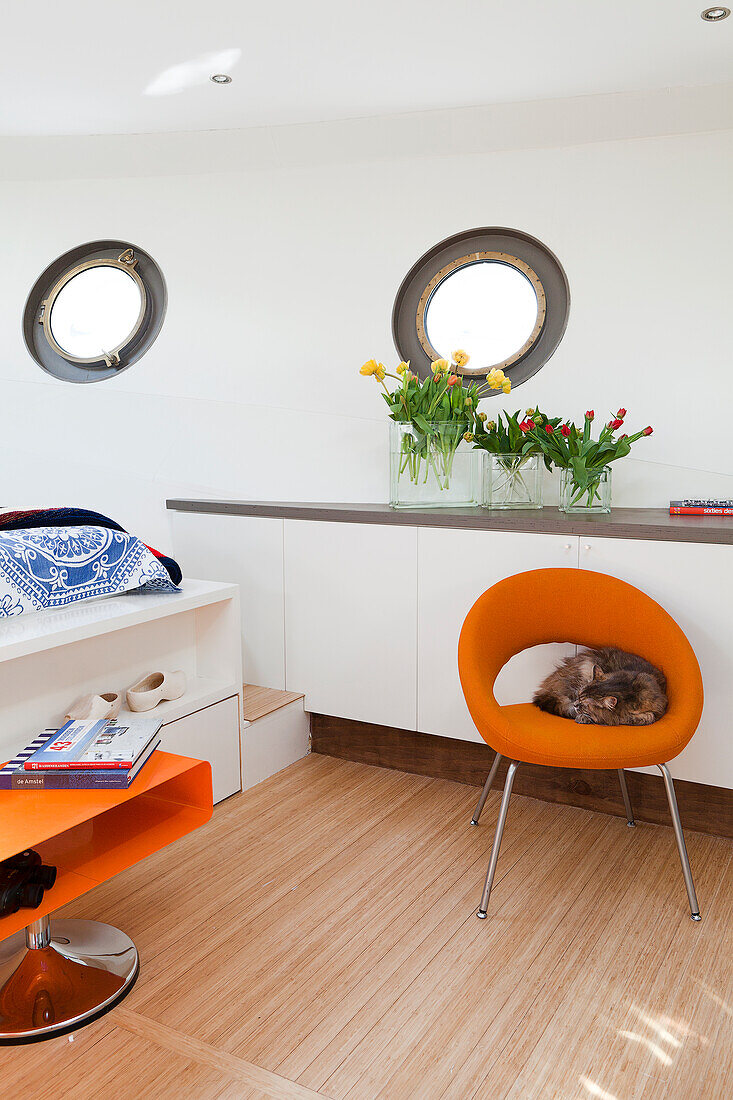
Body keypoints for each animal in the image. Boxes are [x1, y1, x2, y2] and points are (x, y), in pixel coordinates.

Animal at [530, 646, 669, 726]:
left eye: (584, 704)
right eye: (579, 696)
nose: (575, 704)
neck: (629, 690)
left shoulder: (658, 709)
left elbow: (648, 716)